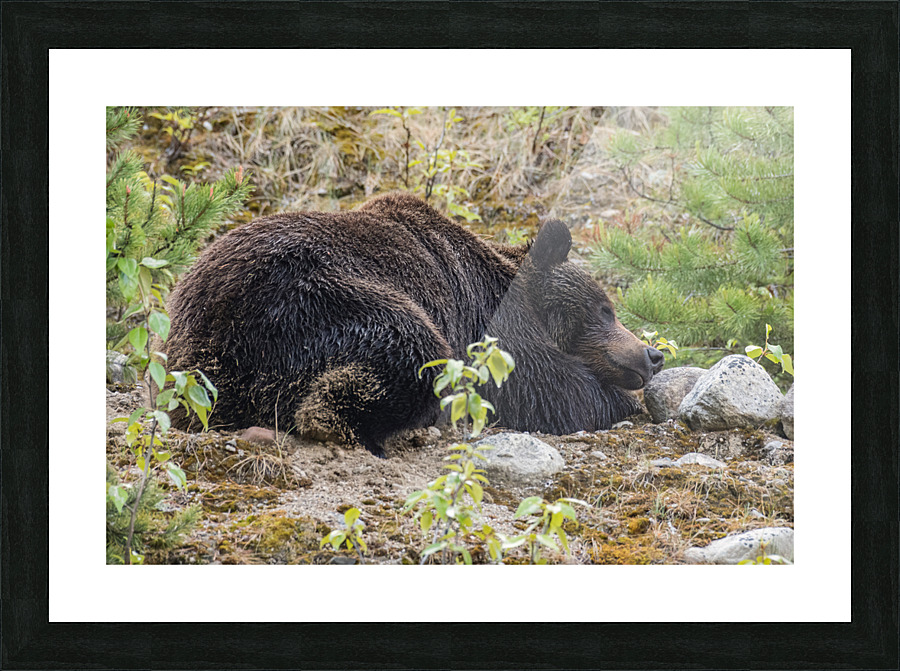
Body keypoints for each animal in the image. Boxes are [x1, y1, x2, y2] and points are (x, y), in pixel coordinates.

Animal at [164, 192, 664, 456]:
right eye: (605, 309)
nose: (652, 354)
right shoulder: (488, 330)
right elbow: (545, 389)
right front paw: (616, 400)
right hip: (309, 300)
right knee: (412, 351)